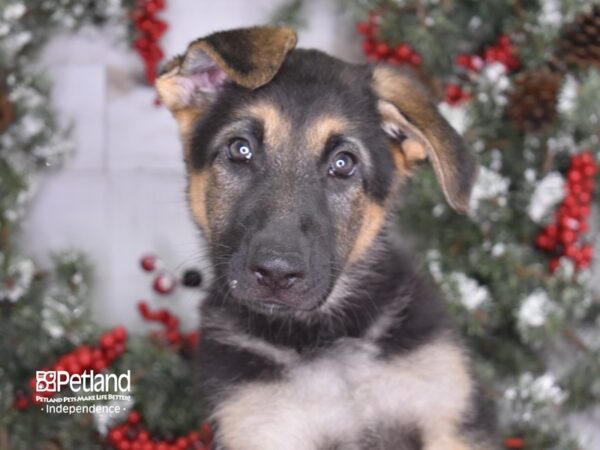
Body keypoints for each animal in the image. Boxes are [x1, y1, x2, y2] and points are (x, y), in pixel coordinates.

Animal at [156, 25, 496, 450]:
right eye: (240, 149)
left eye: (343, 163)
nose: (276, 273)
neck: (327, 338)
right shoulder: (266, 431)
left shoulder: (447, 421)